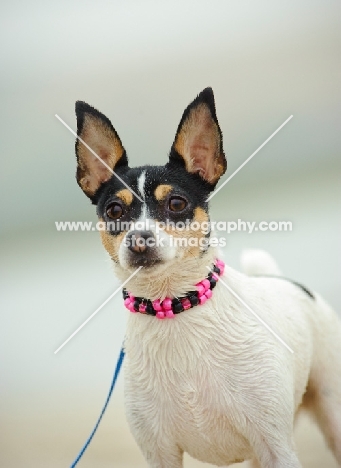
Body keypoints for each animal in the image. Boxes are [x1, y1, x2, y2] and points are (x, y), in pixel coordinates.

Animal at [73, 88, 338, 468]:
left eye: (176, 203)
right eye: (114, 211)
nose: (139, 239)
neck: (175, 305)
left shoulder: (276, 446)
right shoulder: (160, 453)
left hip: (331, 409)